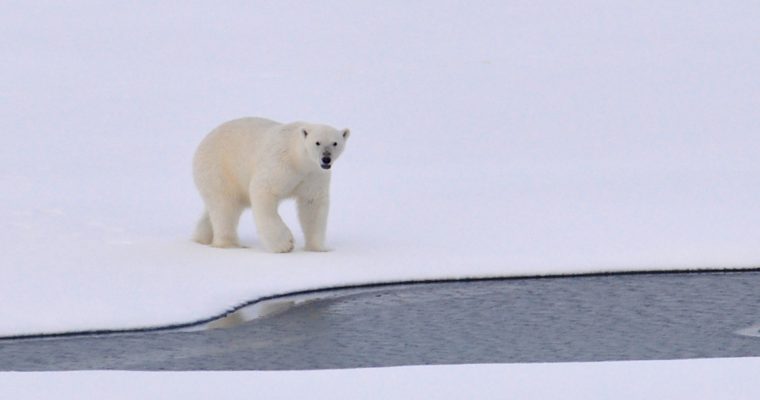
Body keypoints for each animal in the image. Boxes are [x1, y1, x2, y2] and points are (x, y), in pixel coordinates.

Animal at [194, 116, 352, 253]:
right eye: (317, 142)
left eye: (335, 143)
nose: (326, 158)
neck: (298, 159)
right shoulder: (280, 163)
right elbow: (264, 190)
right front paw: (284, 244)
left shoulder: (313, 175)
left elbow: (312, 203)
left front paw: (318, 248)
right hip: (220, 169)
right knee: (225, 206)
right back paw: (230, 244)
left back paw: (201, 237)